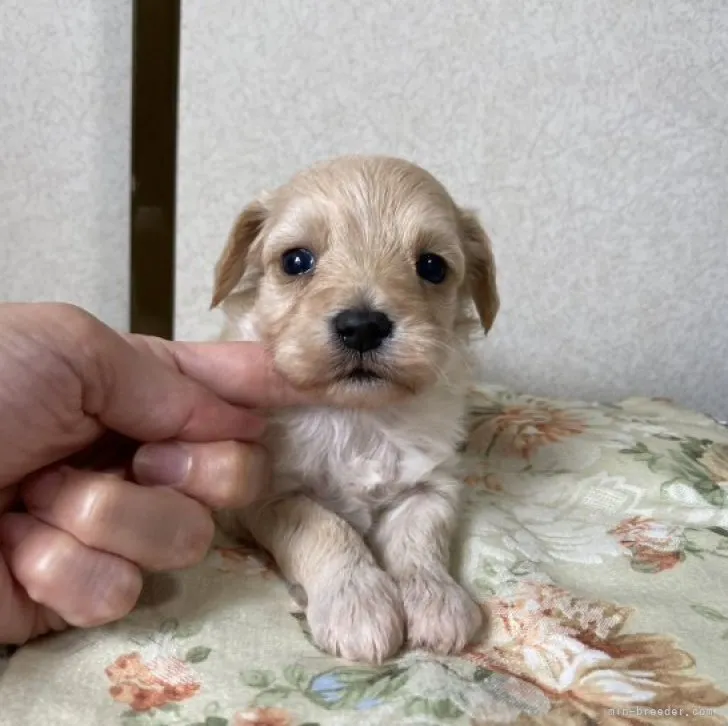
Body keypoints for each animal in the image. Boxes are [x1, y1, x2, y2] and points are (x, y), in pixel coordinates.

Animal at [208, 155, 498, 664]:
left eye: (432, 266)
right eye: (296, 261)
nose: (362, 326)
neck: (357, 415)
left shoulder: (430, 487)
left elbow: (421, 541)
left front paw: (437, 599)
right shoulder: (267, 496)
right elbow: (325, 528)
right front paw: (357, 604)